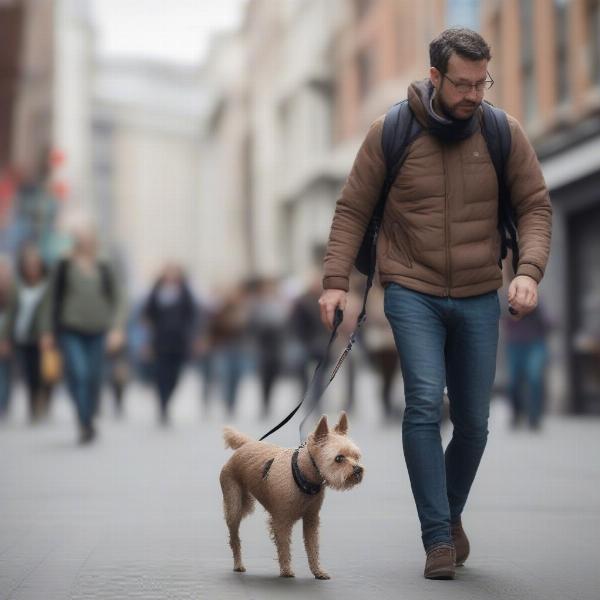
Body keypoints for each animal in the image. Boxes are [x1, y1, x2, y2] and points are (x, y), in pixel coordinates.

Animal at [219, 414, 364, 580]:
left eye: (356, 457)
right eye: (339, 458)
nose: (358, 470)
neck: (302, 473)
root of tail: (247, 444)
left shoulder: (311, 520)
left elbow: (313, 548)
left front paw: (317, 571)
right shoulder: (281, 521)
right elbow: (284, 547)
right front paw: (286, 570)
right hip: (234, 508)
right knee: (234, 538)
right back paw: (238, 564)